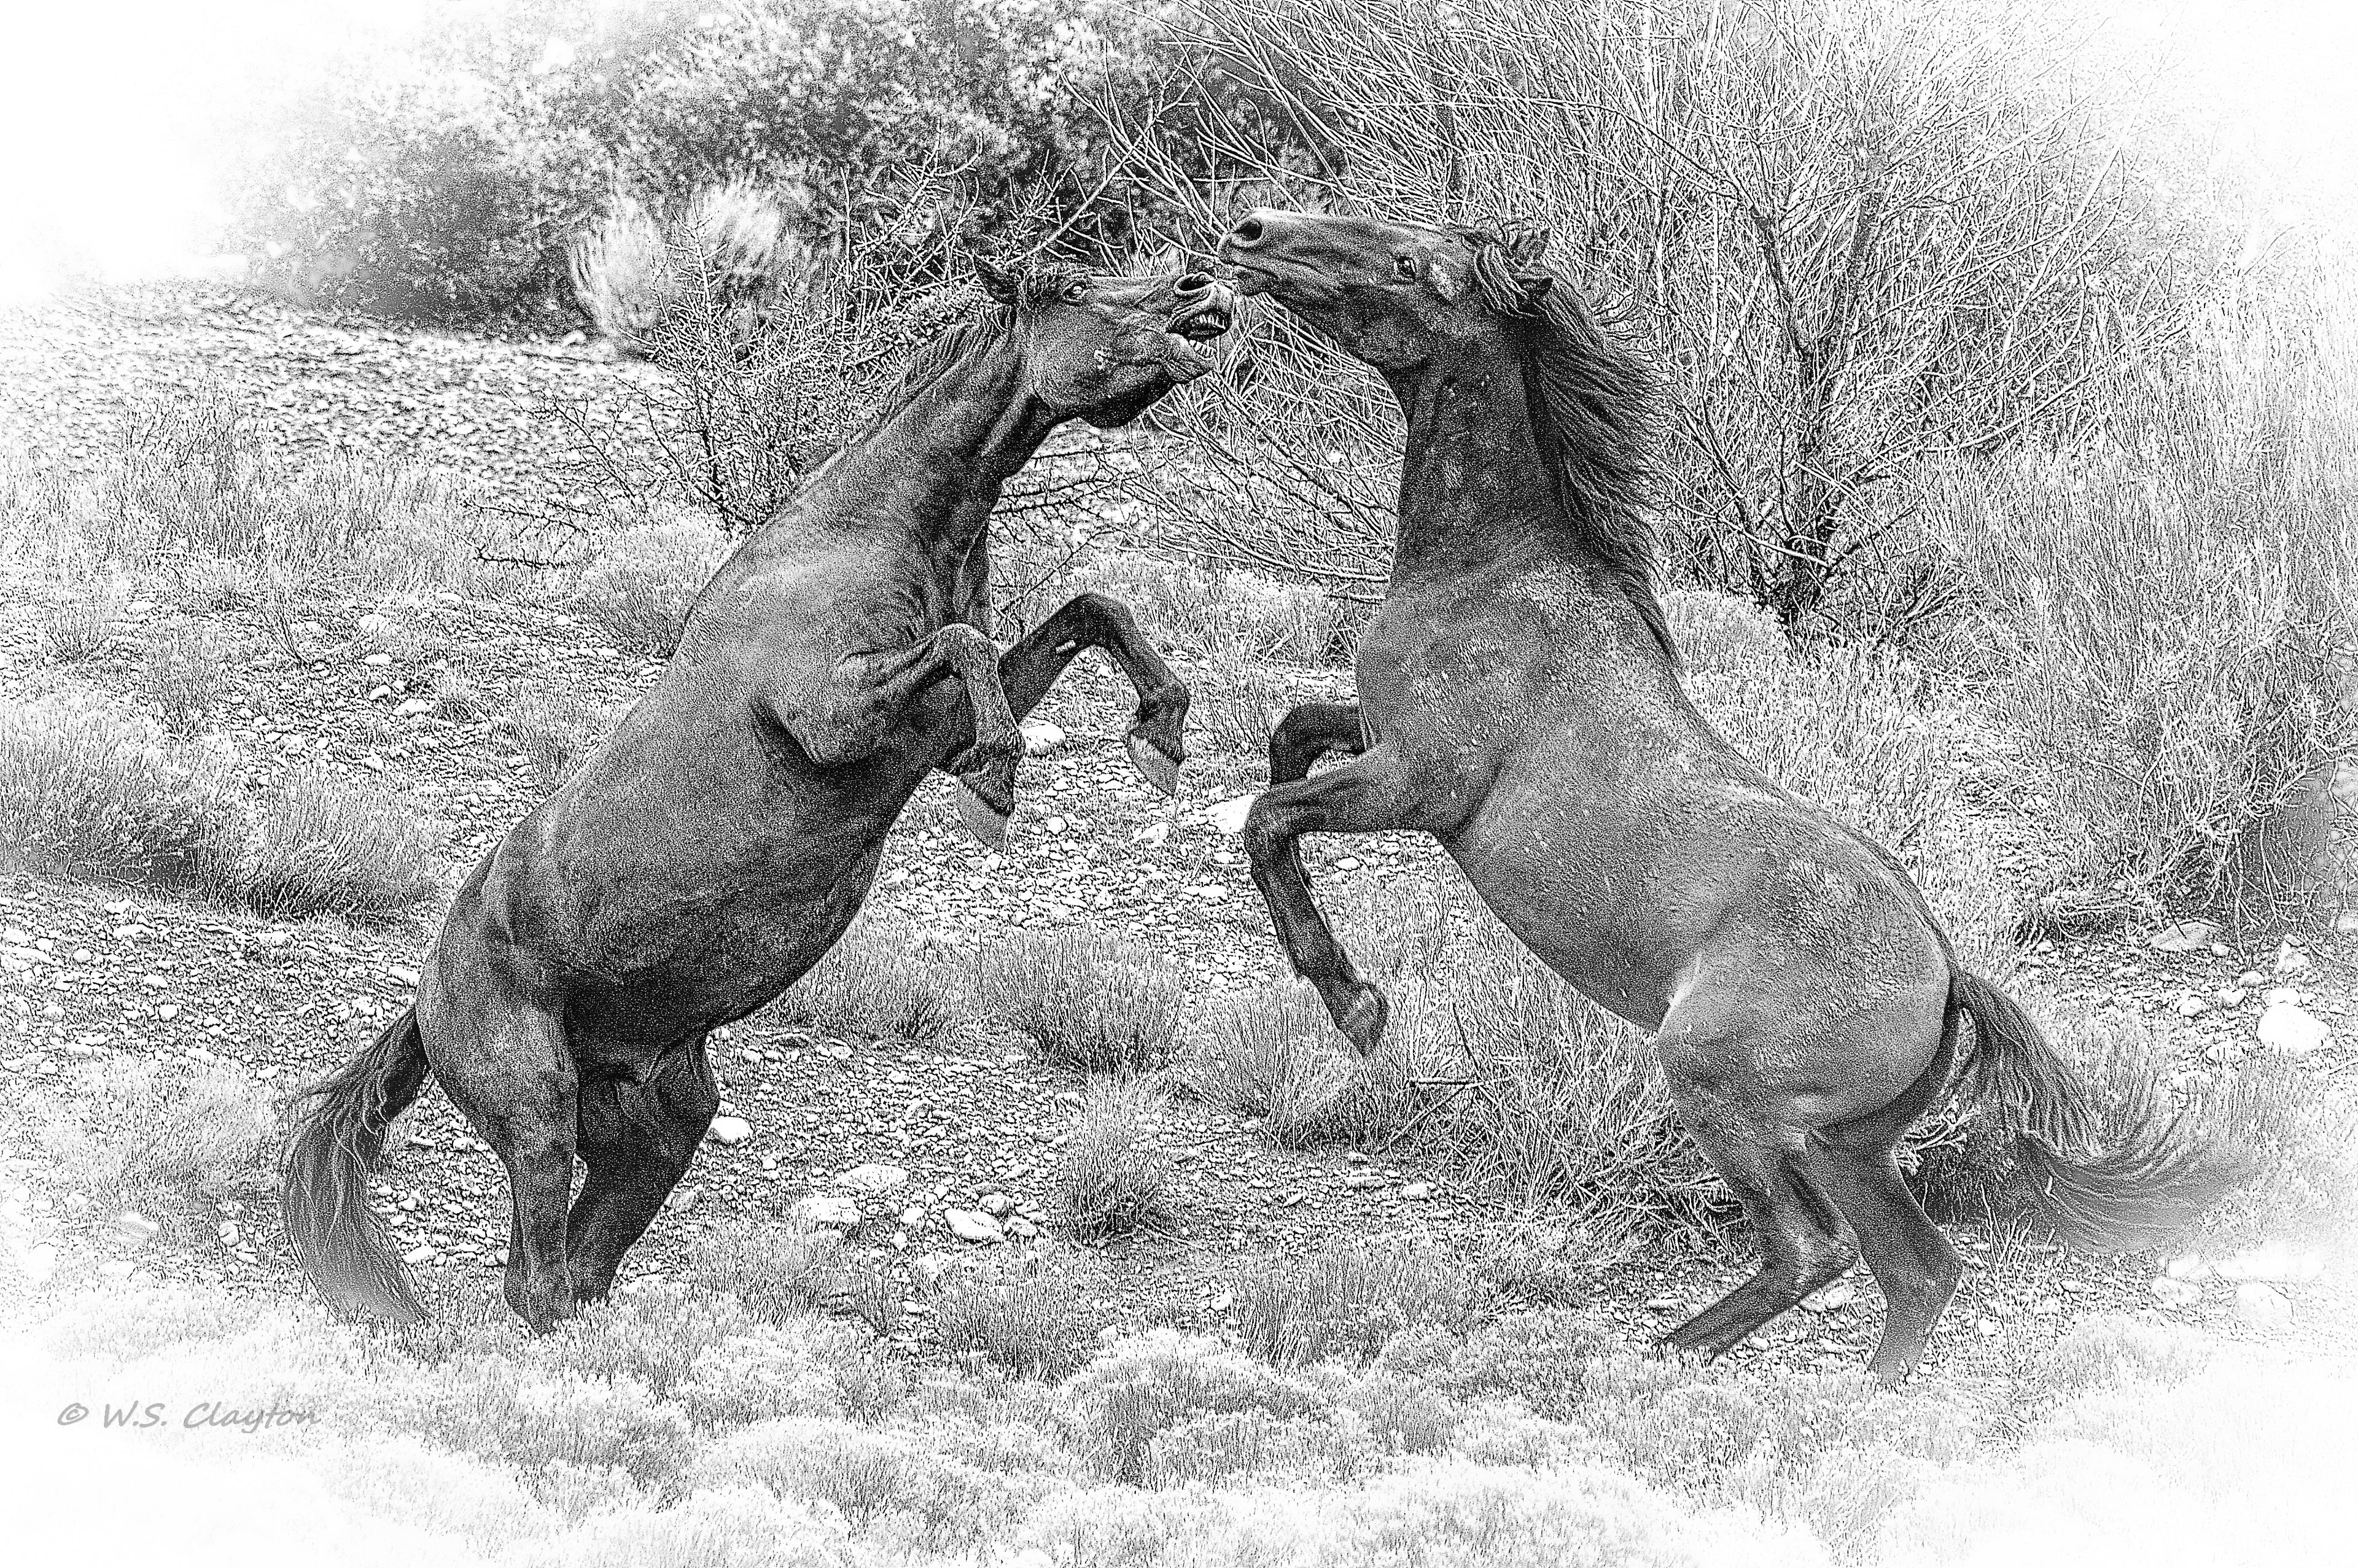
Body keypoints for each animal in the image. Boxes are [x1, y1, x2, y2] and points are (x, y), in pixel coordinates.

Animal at [282, 259, 1235, 1332]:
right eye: (1074, 285)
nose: (1204, 290)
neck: (859, 533)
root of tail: (424, 1003)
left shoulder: (933, 725)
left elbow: (1088, 609)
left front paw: (1160, 736)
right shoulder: (834, 713)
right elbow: (969, 646)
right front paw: (1002, 777)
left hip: (658, 1127)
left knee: (580, 1269)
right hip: (537, 1114)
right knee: (535, 1280)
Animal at [1217, 209, 2237, 1382]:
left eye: (1410, 264)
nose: (1251, 234)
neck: (1492, 569)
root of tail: (1948, 979)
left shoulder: (1423, 782)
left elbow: (1271, 820)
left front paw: (1354, 1002)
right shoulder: (1371, 734)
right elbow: (1287, 741)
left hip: (1720, 1090)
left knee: (1812, 1249)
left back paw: (1655, 1355)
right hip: (1846, 1143)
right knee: (1918, 1268)